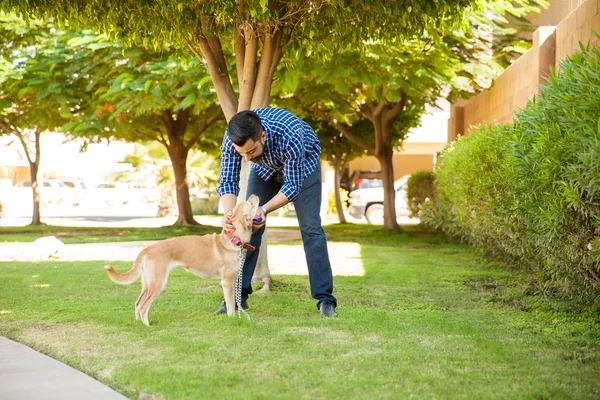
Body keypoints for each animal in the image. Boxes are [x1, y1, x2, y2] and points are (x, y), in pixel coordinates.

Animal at [104, 195, 258, 326]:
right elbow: (231, 305)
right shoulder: (227, 282)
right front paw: (233, 319)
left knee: (137, 303)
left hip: (147, 282)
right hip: (158, 283)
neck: (233, 239)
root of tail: (148, 249)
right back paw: (147, 326)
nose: (254, 195)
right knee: (143, 307)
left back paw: (138, 323)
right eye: (250, 204)